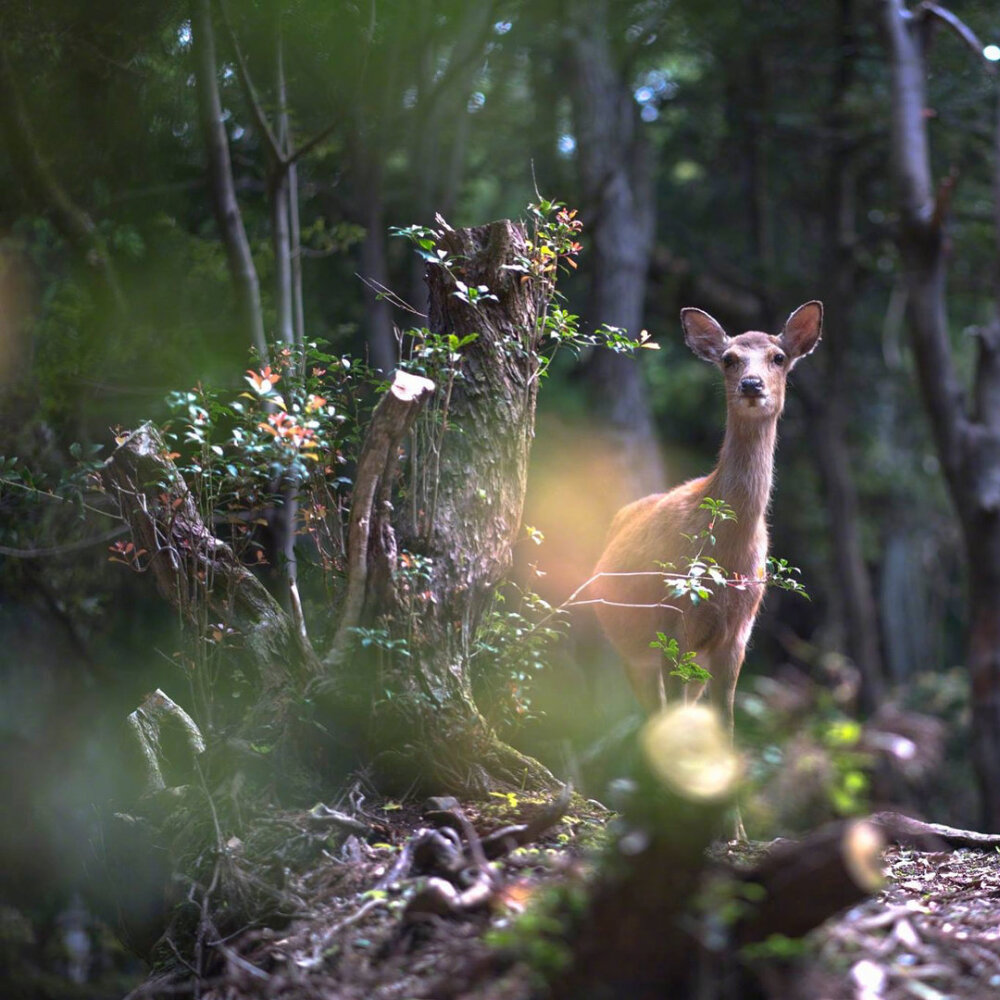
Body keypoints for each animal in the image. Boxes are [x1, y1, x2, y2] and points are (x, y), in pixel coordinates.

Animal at [592, 300, 820, 792]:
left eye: (778, 357)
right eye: (729, 359)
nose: (751, 384)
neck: (725, 556)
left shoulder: (737, 634)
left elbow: (726, 724)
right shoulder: (672, 621)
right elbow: (673, 721)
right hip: (632, 646)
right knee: (652, 713)